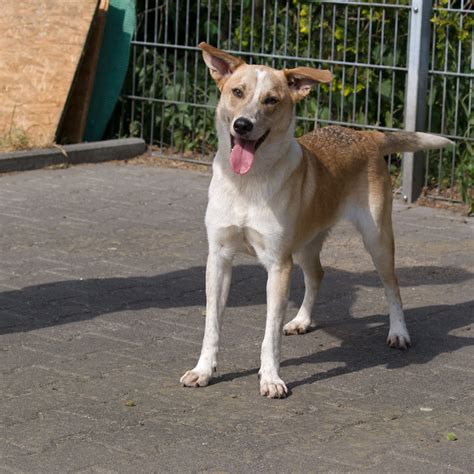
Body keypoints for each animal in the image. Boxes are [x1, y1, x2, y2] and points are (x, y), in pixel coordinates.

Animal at [181, 43, 452, 400]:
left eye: (271, 100)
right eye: (237, 92)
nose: (242, 125)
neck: (248, 183)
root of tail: (365, 136)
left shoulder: (278, 266)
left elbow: (269, 335)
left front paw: (271, 378)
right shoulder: (219, 258)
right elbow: (212, 324)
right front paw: (203, 370)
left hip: (377, 240)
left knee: (392, 287)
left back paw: (398, 333)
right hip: (306, 245)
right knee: (318, 275)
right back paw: (302, 320)